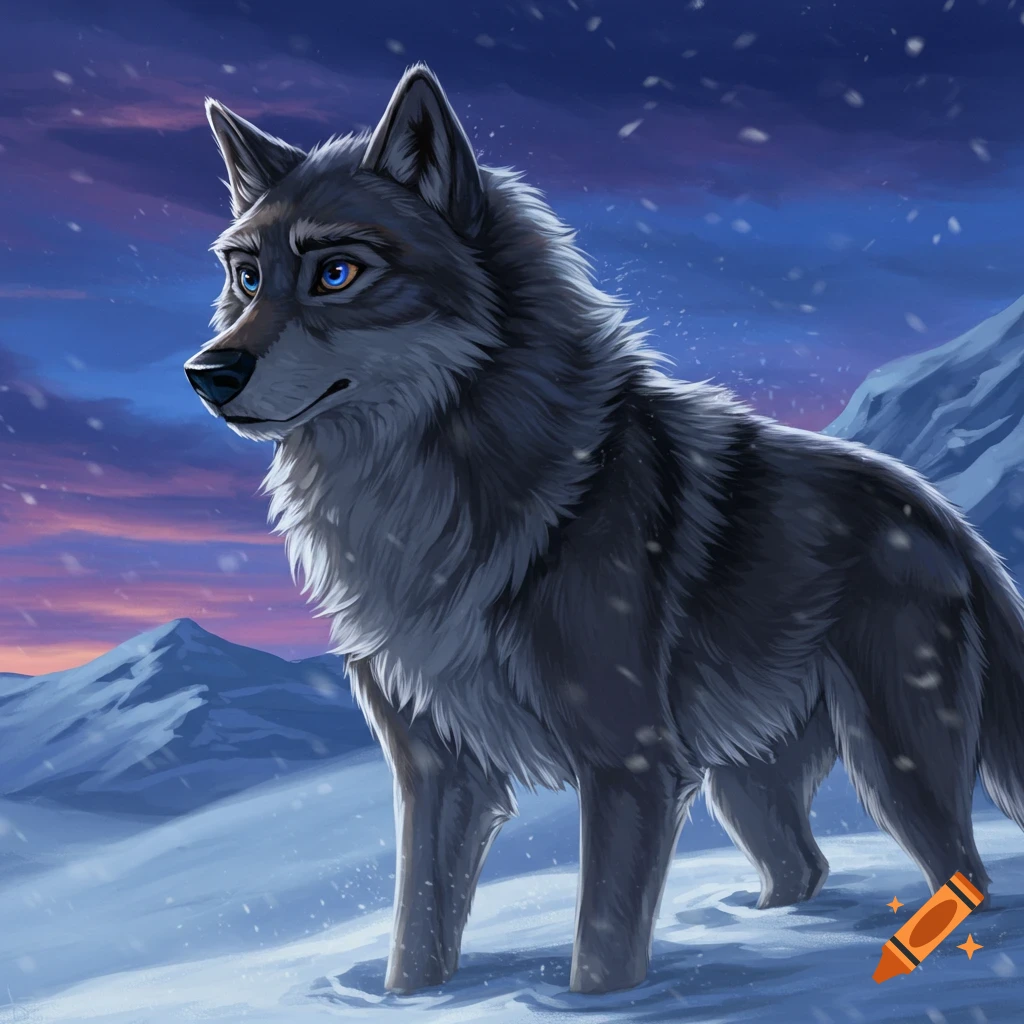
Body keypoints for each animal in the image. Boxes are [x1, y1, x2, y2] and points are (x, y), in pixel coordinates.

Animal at [185, 63, 1024, 995]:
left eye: (336, 273)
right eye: (247, 277)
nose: (207, 372)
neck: (433, 496)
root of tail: (951, 521)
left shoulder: (629, 766)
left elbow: (603, 947)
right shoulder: (438, 775)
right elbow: (417, 939)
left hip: (895, 766)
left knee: (967, 875)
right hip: (745, 786)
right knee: (804, 867)